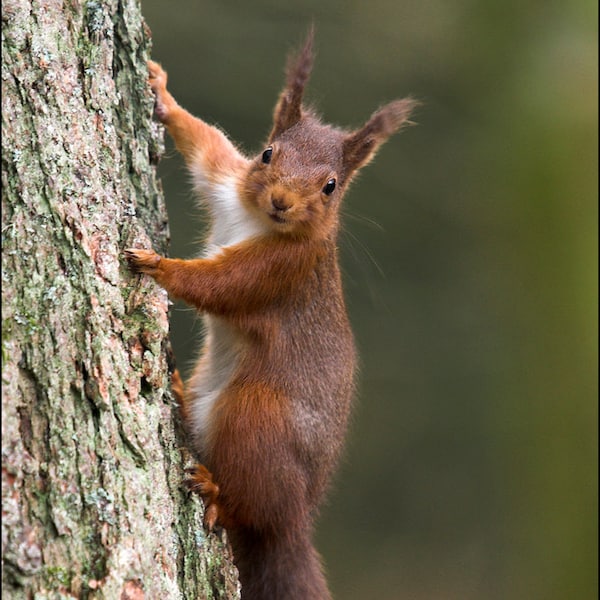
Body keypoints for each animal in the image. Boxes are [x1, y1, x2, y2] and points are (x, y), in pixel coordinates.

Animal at [125, 31, 418, 600]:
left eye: (330, 186)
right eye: (267, 153)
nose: (282, 201)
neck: (257, 221)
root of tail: (295, 521)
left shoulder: (280, 272)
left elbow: (218, 287)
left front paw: (158, 266)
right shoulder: (225, 183)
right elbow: (206, 145)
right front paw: (162, 93)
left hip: (256, 416)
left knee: (246, 508)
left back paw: (215, 490)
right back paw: (178, 391)